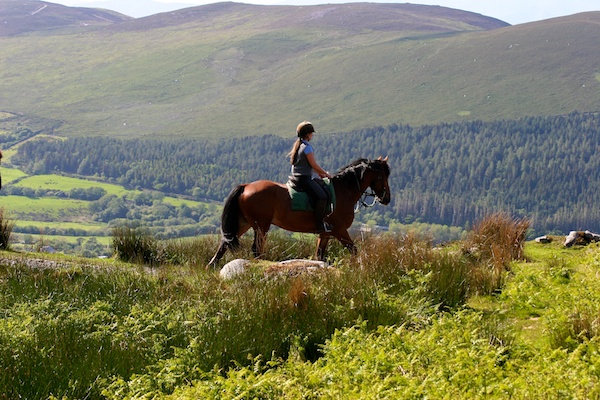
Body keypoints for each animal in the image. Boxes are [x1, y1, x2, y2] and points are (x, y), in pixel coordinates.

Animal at [209, 158, 392, 268]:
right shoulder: (340, 230)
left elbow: (319, 256)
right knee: (256, 249)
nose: (387, 198)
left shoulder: (325, 234)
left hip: (244, 223)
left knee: (224, 245)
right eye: (383, 176)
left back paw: (210, 266)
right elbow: (354, 251)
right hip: (261, 225)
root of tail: (246, 186)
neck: (343, 191)